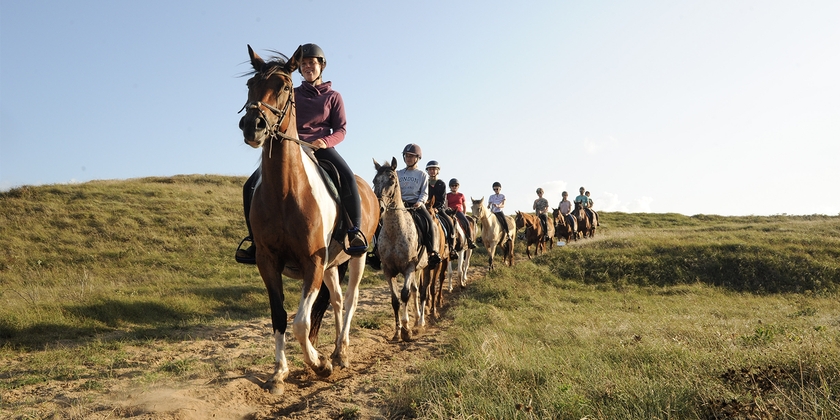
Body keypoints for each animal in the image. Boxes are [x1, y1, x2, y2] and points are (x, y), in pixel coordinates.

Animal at [238, 45, 379, 395]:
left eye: (286, 86)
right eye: (250, 85)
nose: (253, 126)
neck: (286, 191)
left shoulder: (312, 262)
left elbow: (301, 323)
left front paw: (319, 364)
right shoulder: (267, 261)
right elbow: (279, 316)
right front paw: (279, 373)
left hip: (354, 258)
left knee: (351, 300)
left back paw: (341, 353)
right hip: (331, 264)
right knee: (338, 301)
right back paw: (336, 352)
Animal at [372, 157, 438, 341]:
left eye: (392, 181)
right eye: (374, 181)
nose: (380, 208)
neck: (395, 232)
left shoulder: (409, 268)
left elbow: (405, 294)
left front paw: (406, 330)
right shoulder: (388, 270)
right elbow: (395, 300)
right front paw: (397, 332)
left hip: (425, 267)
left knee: (421, 291)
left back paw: (420, 322)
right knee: (416, 290)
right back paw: (416, 320)